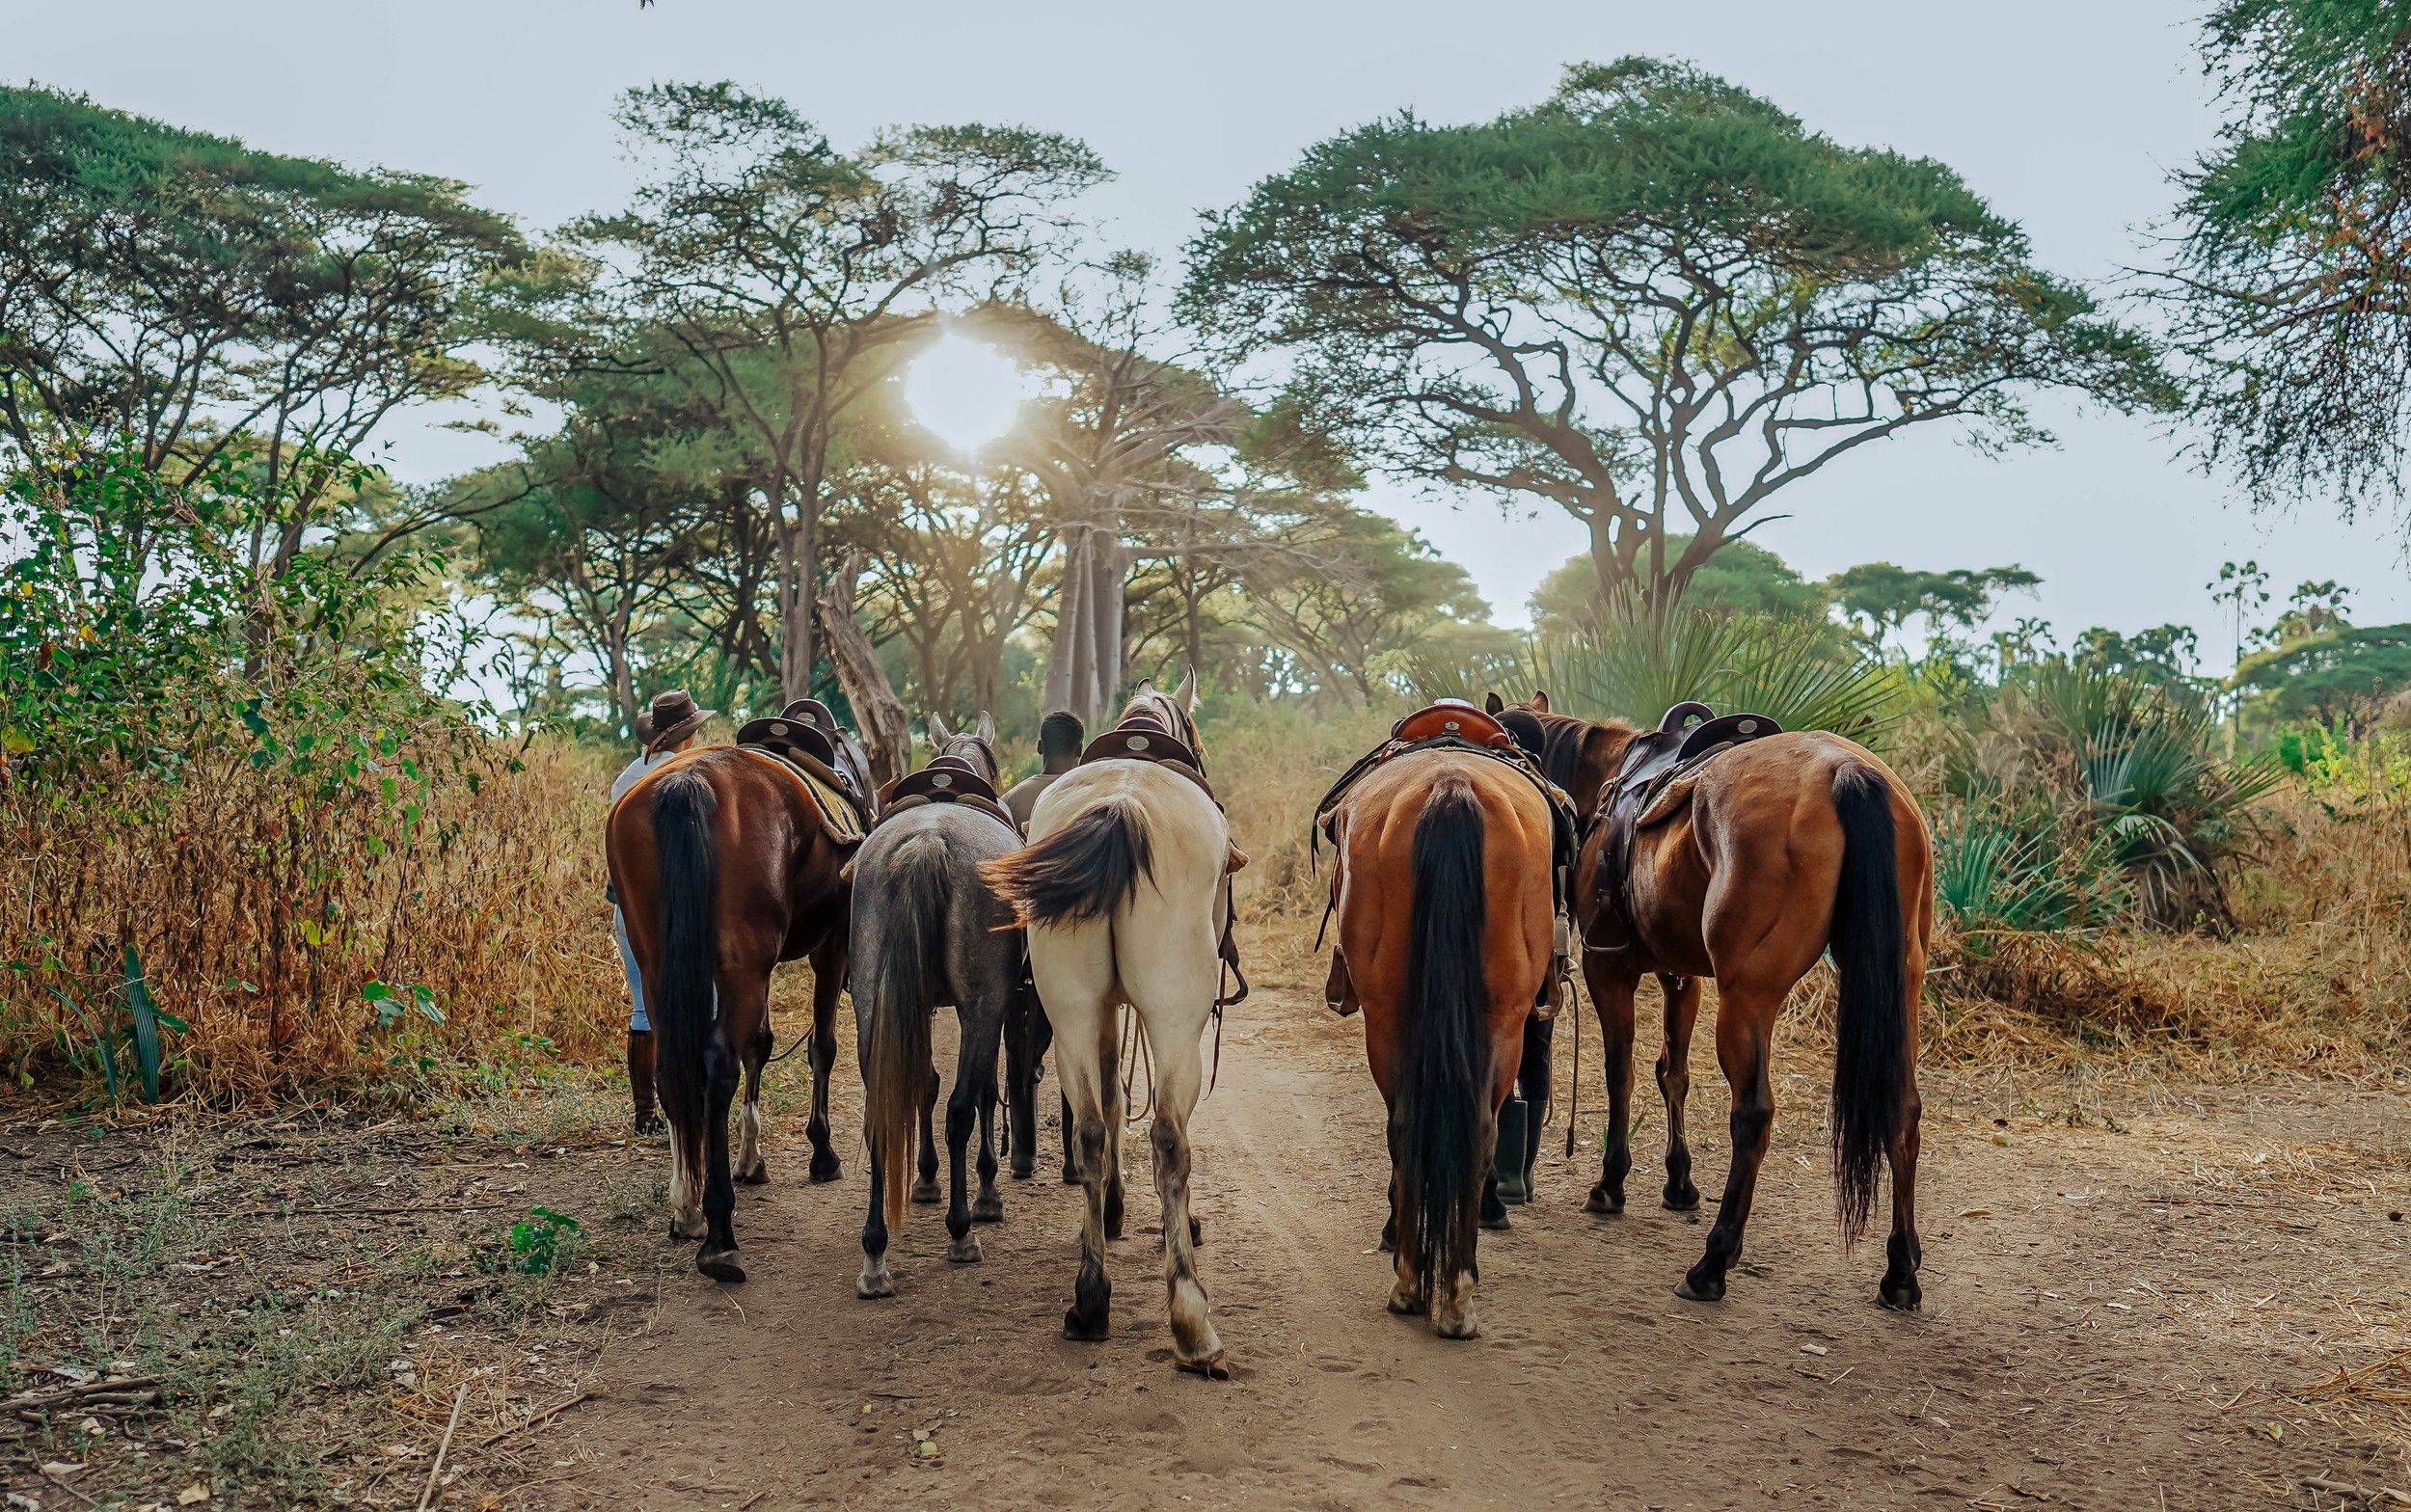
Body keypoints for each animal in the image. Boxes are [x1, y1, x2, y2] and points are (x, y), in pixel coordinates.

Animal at [604, 735, 867, 1281]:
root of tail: (688, 782)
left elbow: (761, 1045)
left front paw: (751, 1157)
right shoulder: (832, 944)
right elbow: (822, 1047)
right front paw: (821, 1152)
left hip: (659, 962)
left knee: (674, 1070)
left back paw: (687, 1208)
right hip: (745, 962)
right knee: (718, 1066)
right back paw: (720, 1235)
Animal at [852, 712, 1032, 1298]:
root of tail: (928, 840)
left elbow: (922, 1083)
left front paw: (926, 1178)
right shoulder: (994, 1006)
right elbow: (980, 1094)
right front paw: (986, 1195)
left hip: (872, 1002)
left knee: (883, 1107)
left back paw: (875, 1253)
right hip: (982, 1007)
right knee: (961, 1108)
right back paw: (961, 1232)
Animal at [980, 674, 1234, 1377]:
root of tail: (1122, 809)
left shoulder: (1103, 1008)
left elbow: (1114, 1101)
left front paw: (1114, 1211)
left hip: (1070, 1007)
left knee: (1090, 1130)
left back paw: (1090, 1301)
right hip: (1176, 1020)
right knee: (1171, 1137)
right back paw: (1190, 1318)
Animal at [1323, 739, 1556, 1338]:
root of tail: (1452, 787)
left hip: (1395, 1018)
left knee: (1416, 1126)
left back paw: (1428, 1283)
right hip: (1492, 1021)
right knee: (1459, 1129)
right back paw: (1444, 1287)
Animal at [1496, 692, 1933, 1311]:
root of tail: (1850, 772)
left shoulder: (1611, 969)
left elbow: (1622, 1073)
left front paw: (1611, 1183)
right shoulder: (1683, 977)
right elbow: (1671, 1073)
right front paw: (1678, 1182)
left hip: (1747, 996)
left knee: (1752, 1114)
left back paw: (1713, 1262)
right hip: (1902, 989)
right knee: (1903, 1109)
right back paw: (1900, 1271)